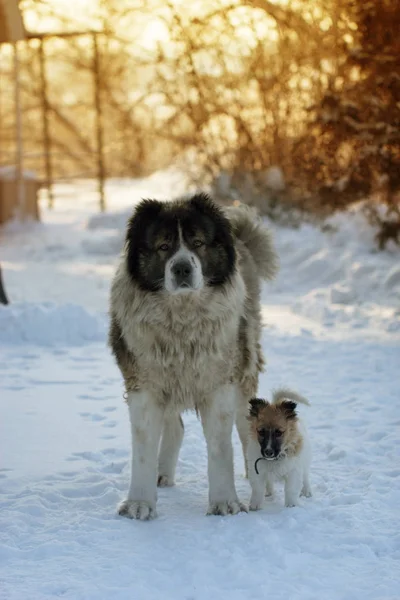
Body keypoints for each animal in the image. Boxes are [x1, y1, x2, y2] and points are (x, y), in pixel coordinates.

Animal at [109, 195, 278, 516]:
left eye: (198, 243)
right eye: (163, 246)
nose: (182, 268)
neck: (182, 319)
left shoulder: (220, 385)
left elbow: (221, 447)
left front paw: (225, 502)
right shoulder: (145, 386)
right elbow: (143, 448)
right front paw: (140, 503)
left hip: (244, 374)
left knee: (246, 426)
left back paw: (261, 481)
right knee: (175, 427)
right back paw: (162, 473)